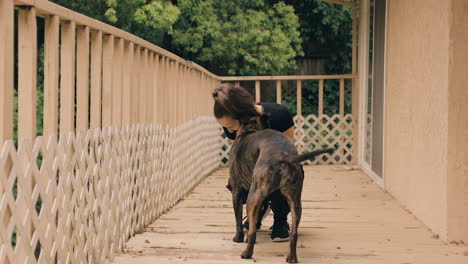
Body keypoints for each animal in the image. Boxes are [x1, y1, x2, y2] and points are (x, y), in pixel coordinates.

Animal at [229, 118, 332, 262]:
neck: (249, 129)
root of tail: (283, 156)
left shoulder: (237, 193)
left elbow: (238, 220)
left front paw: (238, 238)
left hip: (252, 199)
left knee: (252, 233)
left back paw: (247, 253)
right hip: (295, 201)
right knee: (294, 234)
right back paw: (292, 257)